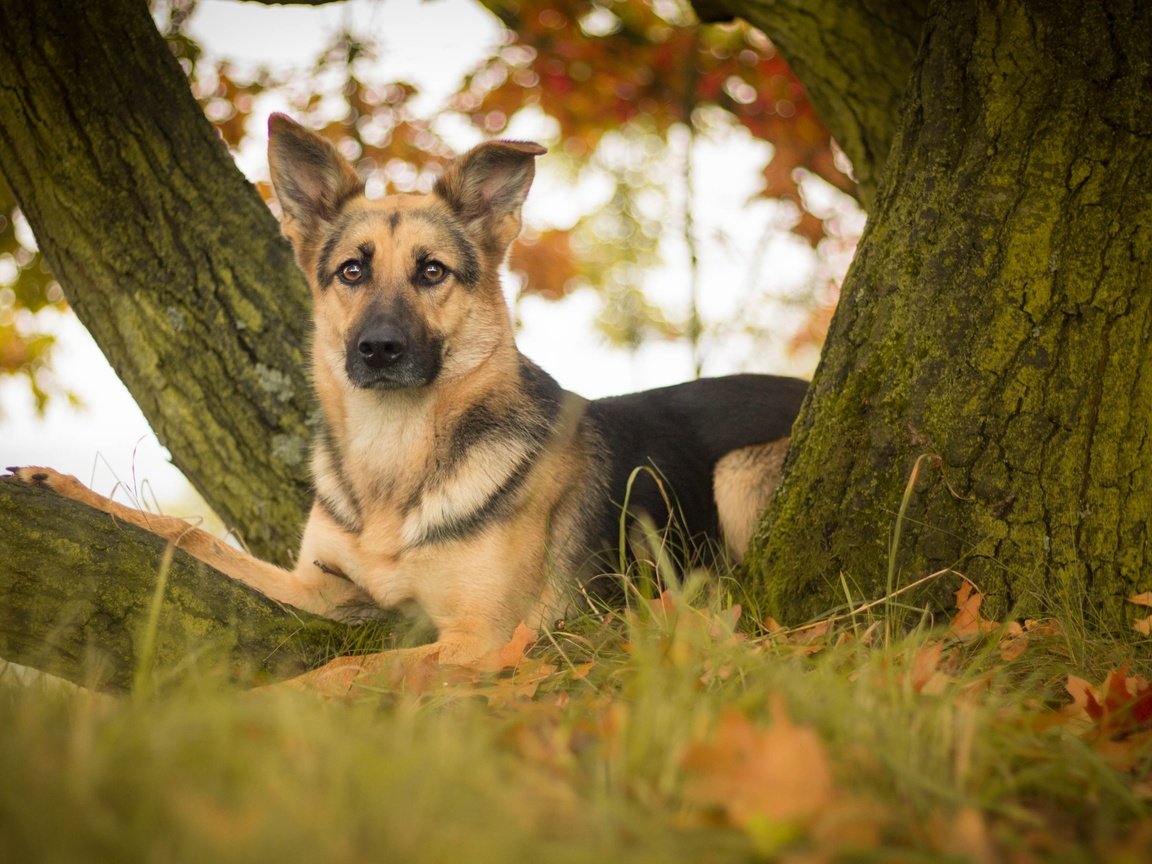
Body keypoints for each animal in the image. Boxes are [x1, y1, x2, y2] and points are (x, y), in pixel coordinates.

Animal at [13, 115, 806, 681]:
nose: (380, 350)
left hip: (738, 476)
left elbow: (348, 669)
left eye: (432, 272)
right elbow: (190, 535)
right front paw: (60, 486)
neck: (394, 460)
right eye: (351, 271)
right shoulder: (320, 589)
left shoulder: (483, 638)